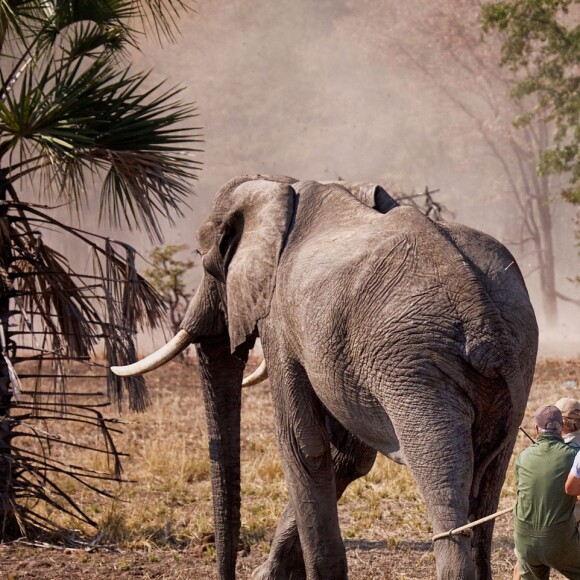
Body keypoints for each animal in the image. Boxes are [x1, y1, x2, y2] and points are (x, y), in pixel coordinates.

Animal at [113, 176, 540, 580]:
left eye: (205, 260)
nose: (226, 574)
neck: (279, 188)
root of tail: (479, 306)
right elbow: (347, 455)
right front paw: (268, 575)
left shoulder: (280, 320)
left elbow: (301, 445)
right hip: (514, 362)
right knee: (488, 477)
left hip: (417, 369)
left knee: (442, 473)